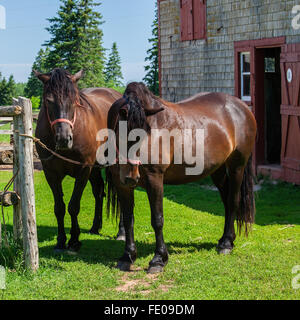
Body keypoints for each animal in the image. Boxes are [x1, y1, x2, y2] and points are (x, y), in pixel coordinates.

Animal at [35, 68, 124, 252]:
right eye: (48, 101)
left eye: (74, 101)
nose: (63, 139)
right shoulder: (51, 173)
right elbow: (59, 208)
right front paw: (61, 241)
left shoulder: (83, 170)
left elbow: (73, 206)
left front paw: (74, 240)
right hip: (95, 169)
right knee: (99, 192)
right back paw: (95, 227)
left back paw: (121, 232)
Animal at [106, 82, 256, 272]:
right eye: (123, 132)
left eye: (142, 134)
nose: (131, 176)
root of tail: (242, 107)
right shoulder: (122, 185)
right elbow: (127, 219)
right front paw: (127, 256)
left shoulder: (155, 180)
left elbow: (157, 219)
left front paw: (158, 259)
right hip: (218, 170)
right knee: (227, 202)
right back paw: (225, 240)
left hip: (237, 167)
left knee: (232, 200)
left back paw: (226, 245)